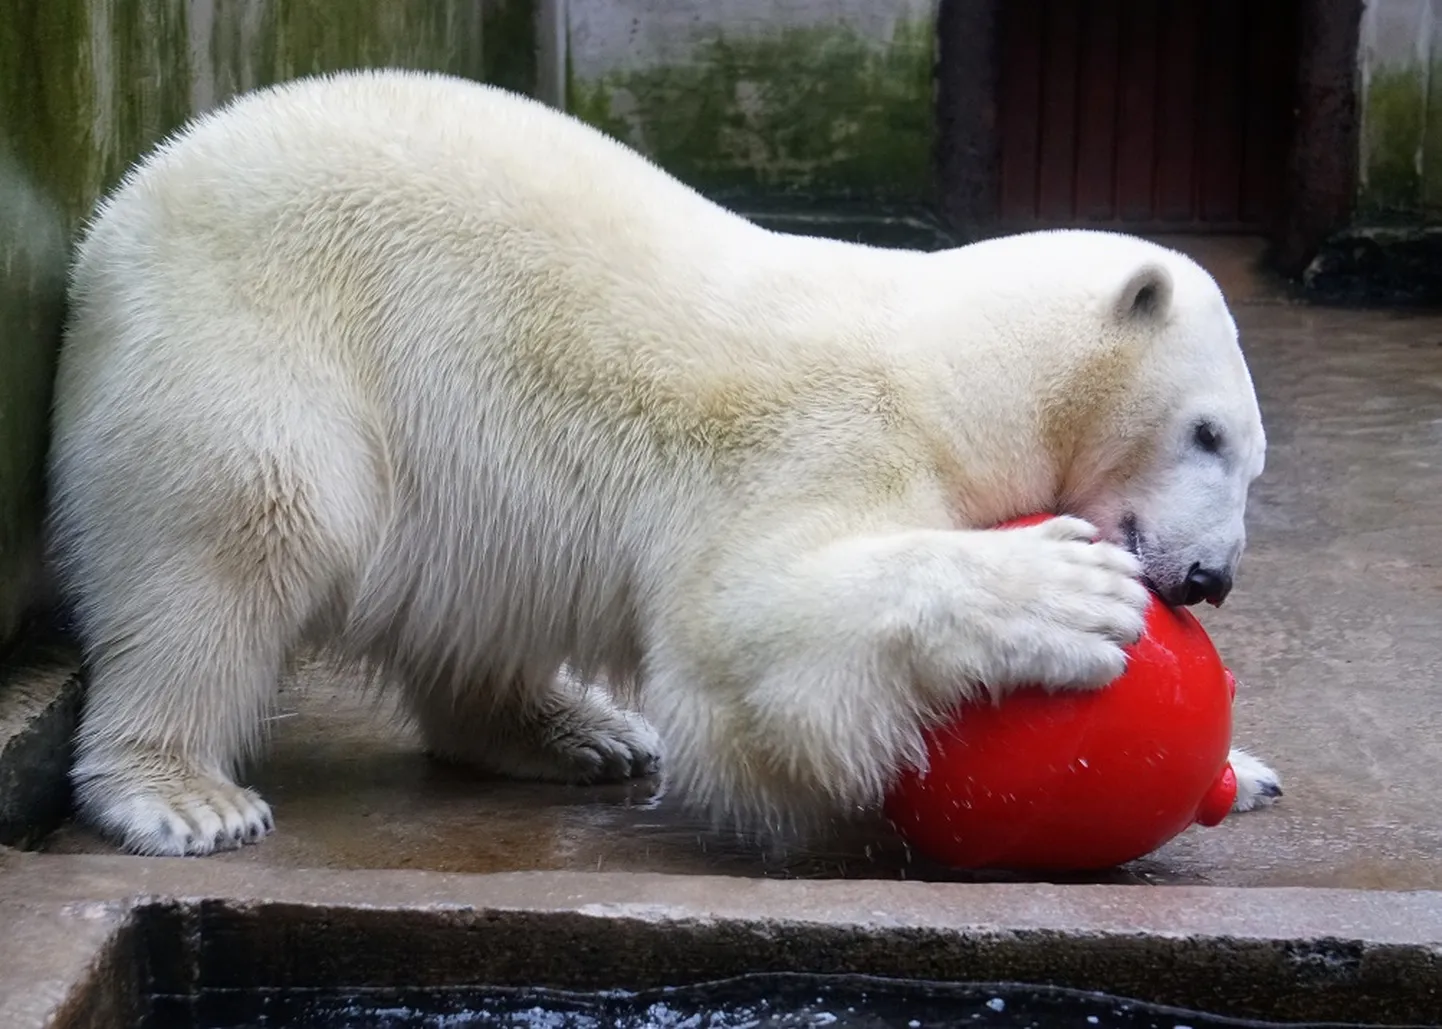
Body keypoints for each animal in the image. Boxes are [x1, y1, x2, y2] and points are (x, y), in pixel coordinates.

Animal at [50, 68, 1280, 853]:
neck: (956, 366)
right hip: (256, 344)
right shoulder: (824, 432)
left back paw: (579, 731)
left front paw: (1256, 769)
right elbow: (741, 623)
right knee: (232, 537)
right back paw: (181, 793)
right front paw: (1065, 594)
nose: (1210, 577)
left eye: (1251, 458)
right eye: (1207, 433)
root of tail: (118, 219)